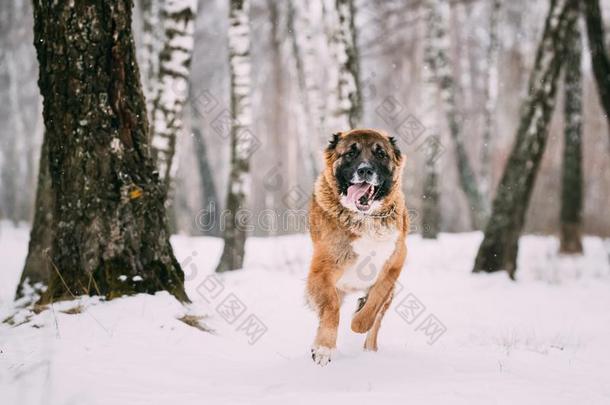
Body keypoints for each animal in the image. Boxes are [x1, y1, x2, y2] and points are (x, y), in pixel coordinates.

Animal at [304, 128, 408, 364]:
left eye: (380, 154)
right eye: (351, 153)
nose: (365, 170)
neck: (366, 217)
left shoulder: (393, 267)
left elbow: (374, 304)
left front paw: (358, 321)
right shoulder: (321, 272)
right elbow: (331, 308)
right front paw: (323, 348)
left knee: (376, 324)